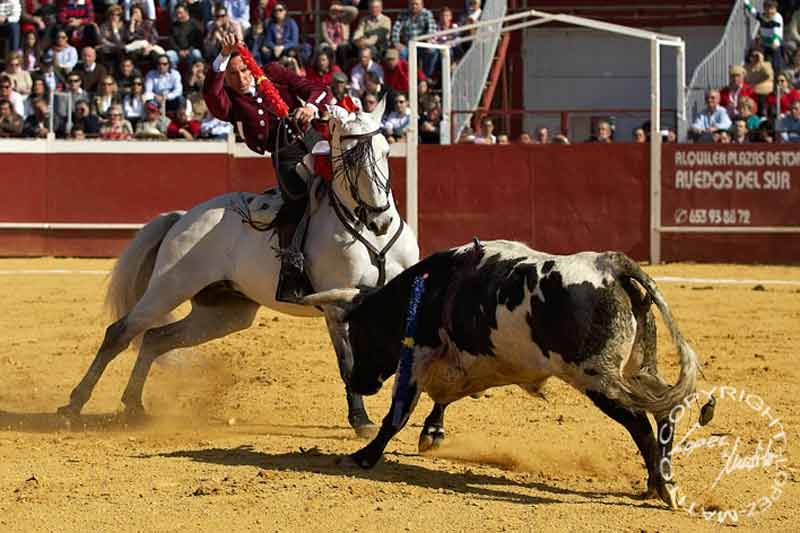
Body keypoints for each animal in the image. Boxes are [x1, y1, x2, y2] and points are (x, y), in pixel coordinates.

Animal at [56, 101, 418, 436]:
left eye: (386, 151)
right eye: (351, 157)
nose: (381, 220)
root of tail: (183, 217)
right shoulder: (336, 307)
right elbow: (347, 362)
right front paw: (361, 420)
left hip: (224, 312)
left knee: (156, 338)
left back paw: (133, 406)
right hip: (169, 287)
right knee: (120, 333)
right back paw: (73, 405)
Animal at [304, 239, 704, 504]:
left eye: (359, 332)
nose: (356, 381)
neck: (432, 287)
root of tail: (609, 265)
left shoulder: (418, 353)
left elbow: (398, 413)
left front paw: (364, 456)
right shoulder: (464, 360)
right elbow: (443, 396)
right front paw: (431, 433)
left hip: (596, 377)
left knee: (641, 422)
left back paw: (661, 487)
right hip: (637, 367)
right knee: (666, 410)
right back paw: (660, 482)